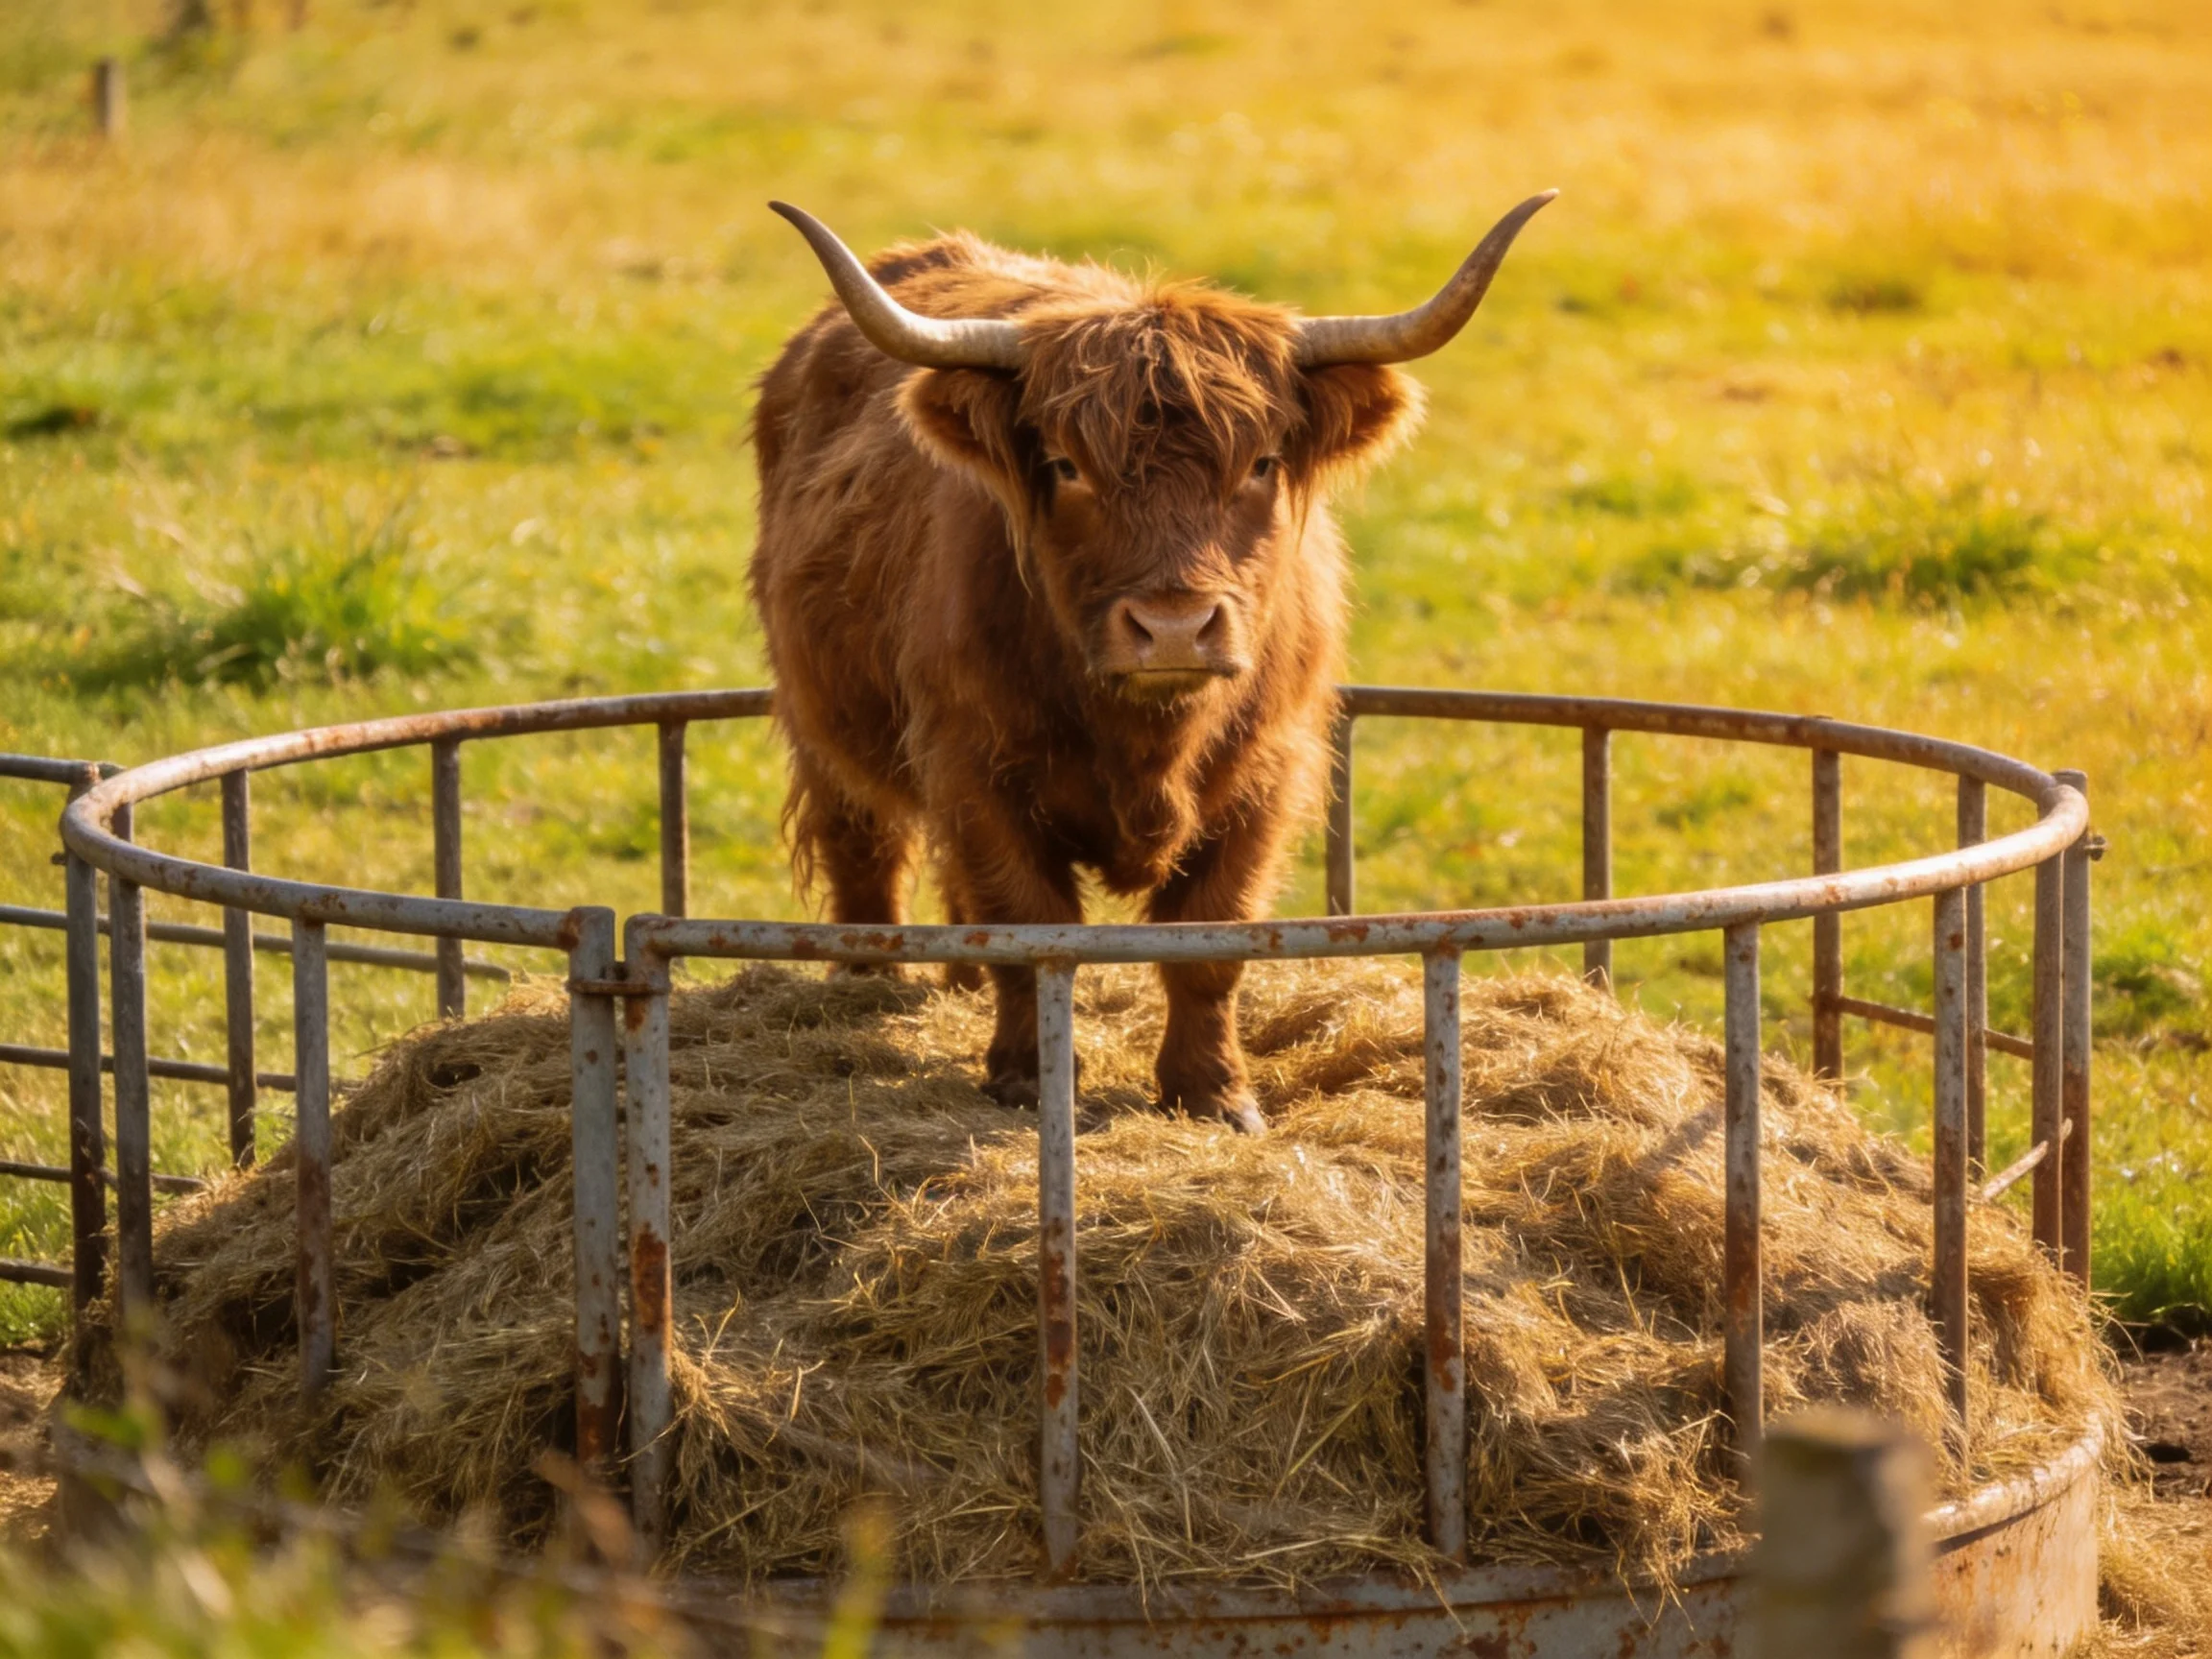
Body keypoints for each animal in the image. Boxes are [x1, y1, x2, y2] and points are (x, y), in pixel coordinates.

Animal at [751, 192, 1554, 1134]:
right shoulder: (973, 768)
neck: (1147, 742)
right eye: (1066, 465)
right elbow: (1026, 926)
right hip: (821, 723)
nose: (1174, 627)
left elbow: (1212, 940)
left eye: (1262, 463)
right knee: (864, 851)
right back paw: (866, 982)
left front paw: (1213, 1092)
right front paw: (1027, 1078)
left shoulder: (1267, 774)